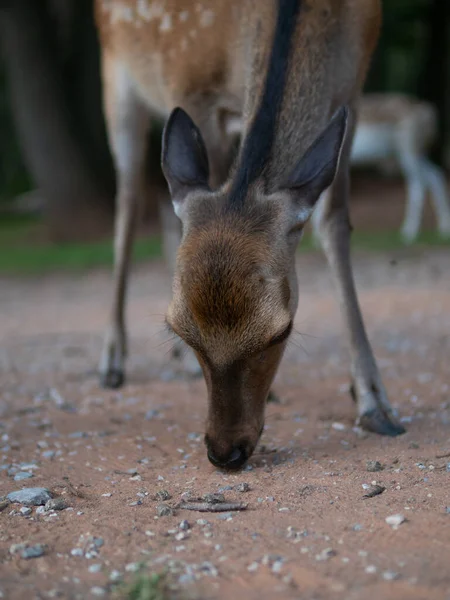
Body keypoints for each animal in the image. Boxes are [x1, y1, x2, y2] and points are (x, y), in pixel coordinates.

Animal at [94, 0, 404, 472]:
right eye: (179, 327)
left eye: (282, 332)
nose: (225, 452)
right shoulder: (192, 84)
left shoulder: (353, 83)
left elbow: (334, 221)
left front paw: (374, 402)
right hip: (118, 77)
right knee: (127, 205)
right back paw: (112, 362)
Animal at [312, 94, 450, 244]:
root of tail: (428, 111)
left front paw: (318, 240)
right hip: (416, 153)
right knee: (435, 174)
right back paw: (443, 229)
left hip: (408, 150)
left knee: (418, 183)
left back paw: (408, 233)